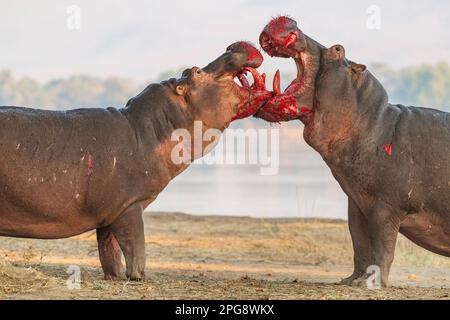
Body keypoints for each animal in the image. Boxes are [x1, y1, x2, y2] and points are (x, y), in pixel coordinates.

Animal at [0, 41, 270, 282]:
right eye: (196, 72)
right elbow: (135, 245)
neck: (152, 129)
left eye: (188, 71)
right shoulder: (130, 206)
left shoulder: (109, 212)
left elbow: (108, 248)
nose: (231, 47)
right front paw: (140, 277)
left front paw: (116, 276)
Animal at [256, 15, 450, 288]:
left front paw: (370, 284)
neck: (371, 121)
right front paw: (350, 281)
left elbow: (383, 248)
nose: (294, 26)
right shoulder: (357, 205)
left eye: (338, 49)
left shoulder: (384, 207)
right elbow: (359, 245)